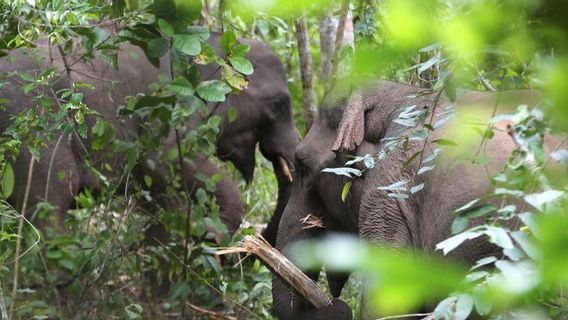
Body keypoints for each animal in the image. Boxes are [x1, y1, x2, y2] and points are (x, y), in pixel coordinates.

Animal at [0, 31, 300, 242]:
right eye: (279, 106)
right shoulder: (167, 109)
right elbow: (162, 159)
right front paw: (211, 238)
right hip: (36, 131)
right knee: (51, 204)